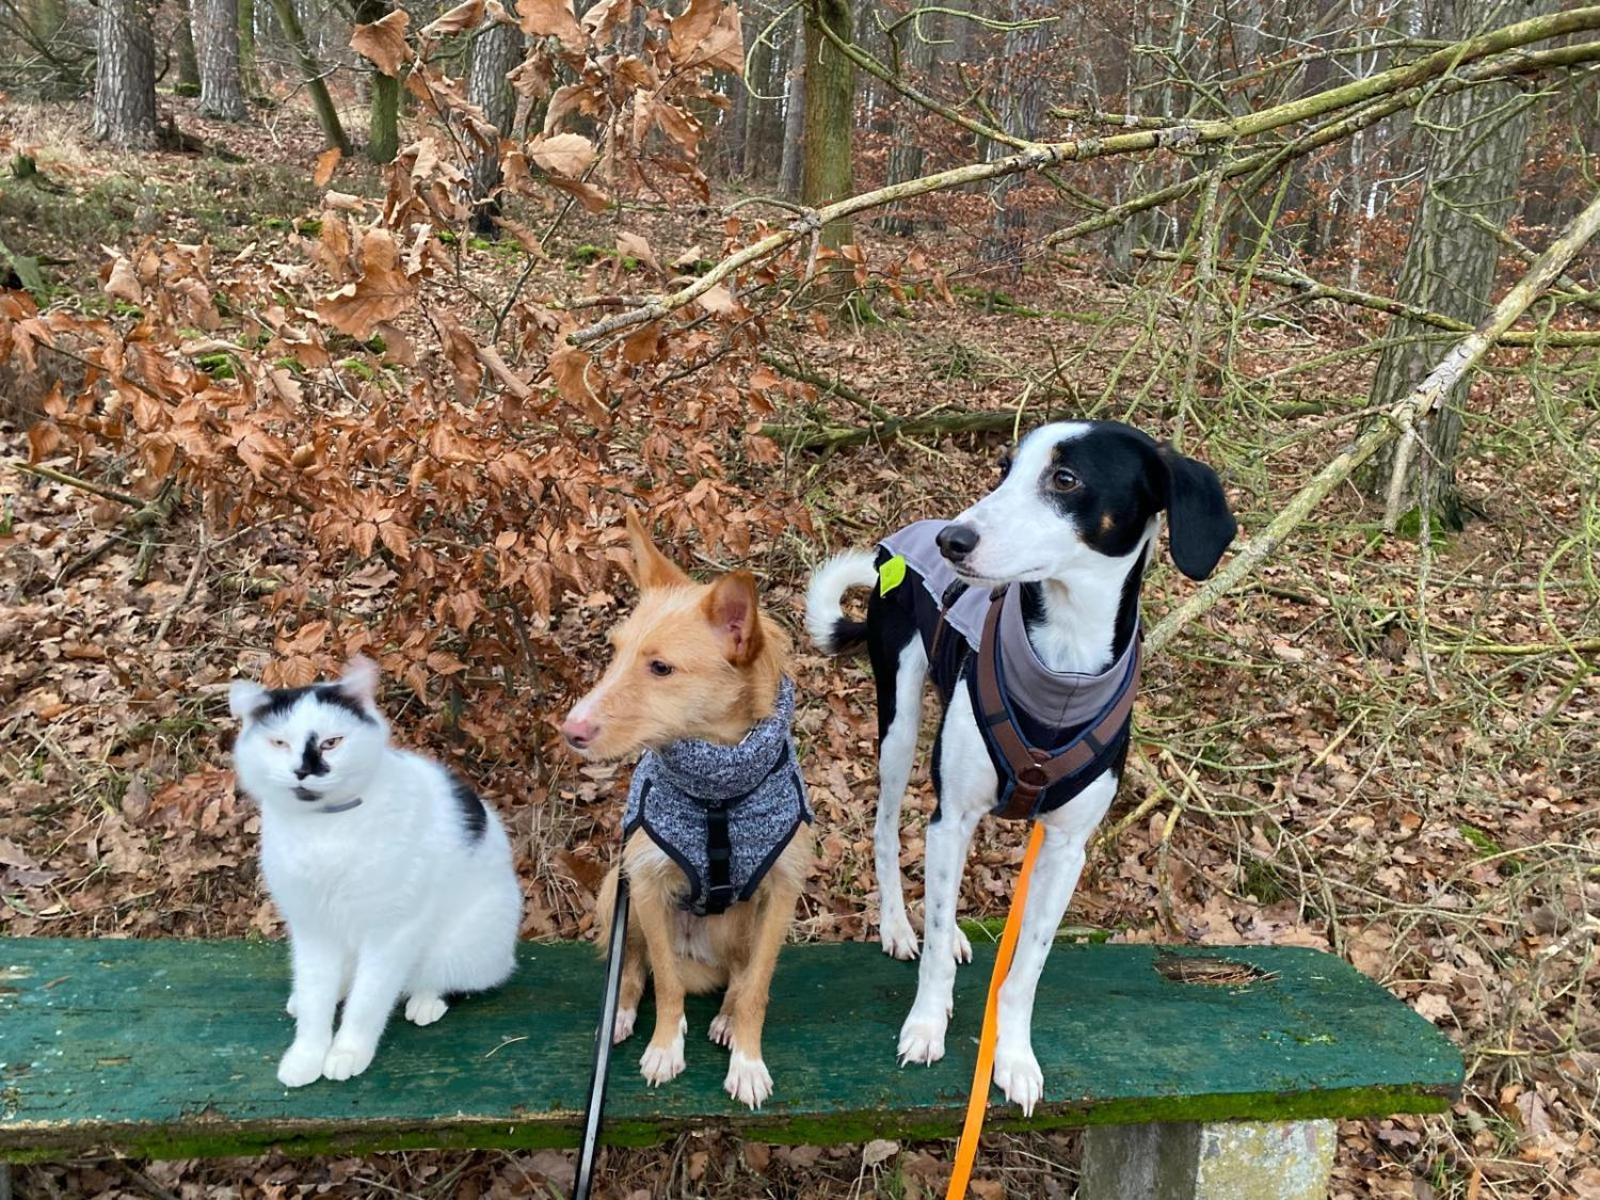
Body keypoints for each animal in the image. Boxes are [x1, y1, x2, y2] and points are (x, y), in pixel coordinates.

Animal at [232, 659, 521, 1088]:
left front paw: (348, 1052)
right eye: (279, 744)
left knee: (446, 976)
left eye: (332, 742)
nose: (303, 770)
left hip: (467, 939)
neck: (325, 830)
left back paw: (425, 999)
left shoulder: (391, 930)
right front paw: (307, 1054)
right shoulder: (312, 927)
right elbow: (316, 993)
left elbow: (369, 1000)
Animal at [563, 512, 812, 1113]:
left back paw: (724, 1016)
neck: (718, 789)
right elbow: (666, 983)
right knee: (637, 966)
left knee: (738, 975)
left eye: (661, 667)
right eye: (614, 652)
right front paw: (664, 1048)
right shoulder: (647, 883)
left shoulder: (782, 890)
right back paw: (623, 1012)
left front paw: (747, 1059)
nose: (570, 731)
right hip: (616, 887)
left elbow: (757, 987)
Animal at [812, 425, 1235, 1120]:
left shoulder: (1064, 849)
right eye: (1003, 469)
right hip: (899, 721)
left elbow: (1025, 970)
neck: (1062, 666)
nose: (952, 541)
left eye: (1065, 479)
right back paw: (899, 926)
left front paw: (1011, 1056)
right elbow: (935, 953)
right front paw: (926, 1024)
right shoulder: (953, 816)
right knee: (885, 832)